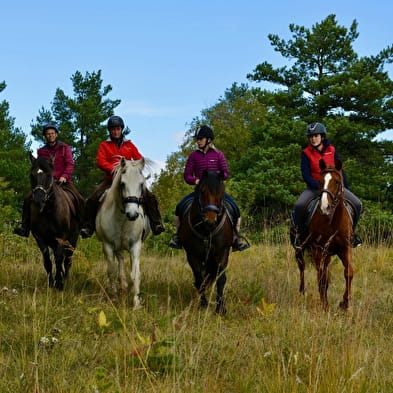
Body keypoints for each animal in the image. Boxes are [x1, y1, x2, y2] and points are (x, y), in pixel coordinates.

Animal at [28, 155, 85, 290]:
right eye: (32, 175)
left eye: (49, 175)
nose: (38, 199)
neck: (48, 210)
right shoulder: (40, 238)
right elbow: (47, 260)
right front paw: (50, 283)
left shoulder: (61, 237)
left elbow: (59, 259)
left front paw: (59, 283)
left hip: (72, 239)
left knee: (67, 259)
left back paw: (66, 279)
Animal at [95, 155, 150, 306]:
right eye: (122, 184)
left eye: (141, 184)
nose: (132, 214)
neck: (122, 219)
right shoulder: (107, 245)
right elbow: (112, 272)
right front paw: (113, 297)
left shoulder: (136, 245)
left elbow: (135, 273)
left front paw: (136, 301)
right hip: (117, 246)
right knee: (119, 261)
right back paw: (123, 286)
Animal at [178, 168, 233, 312]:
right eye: (202, 191)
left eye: (222, 192)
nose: (210, 220)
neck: (206, 230)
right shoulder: (192, 255)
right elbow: (199, 279)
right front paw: (203, 305)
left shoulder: (222, 252)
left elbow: (221, 279)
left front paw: (220, 308)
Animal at [292, 158, 354, 310]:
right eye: (320, 182)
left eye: (337, 181)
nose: (324, 207)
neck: (333, 221)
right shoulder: (319, 249)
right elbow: (322, 278)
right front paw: (325, 305)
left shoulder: (345, 248)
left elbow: (349, 272)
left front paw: (344, 303)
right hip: (301, 249)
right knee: (303, 267)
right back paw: (302, 292)